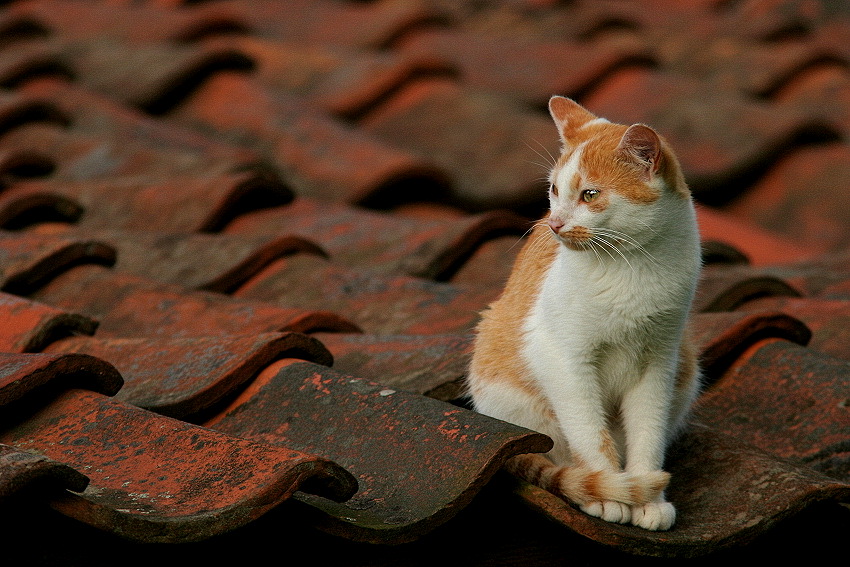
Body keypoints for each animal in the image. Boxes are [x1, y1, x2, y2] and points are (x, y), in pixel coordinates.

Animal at [468, 95, 700, 532]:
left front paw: (648, 495)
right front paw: (610, 492)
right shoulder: (562, 358)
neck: (631, 267)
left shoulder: (659, 363)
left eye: (590, 194)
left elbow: (648, 431)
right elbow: (591, 434)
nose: (555, 223)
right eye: (554, 190)